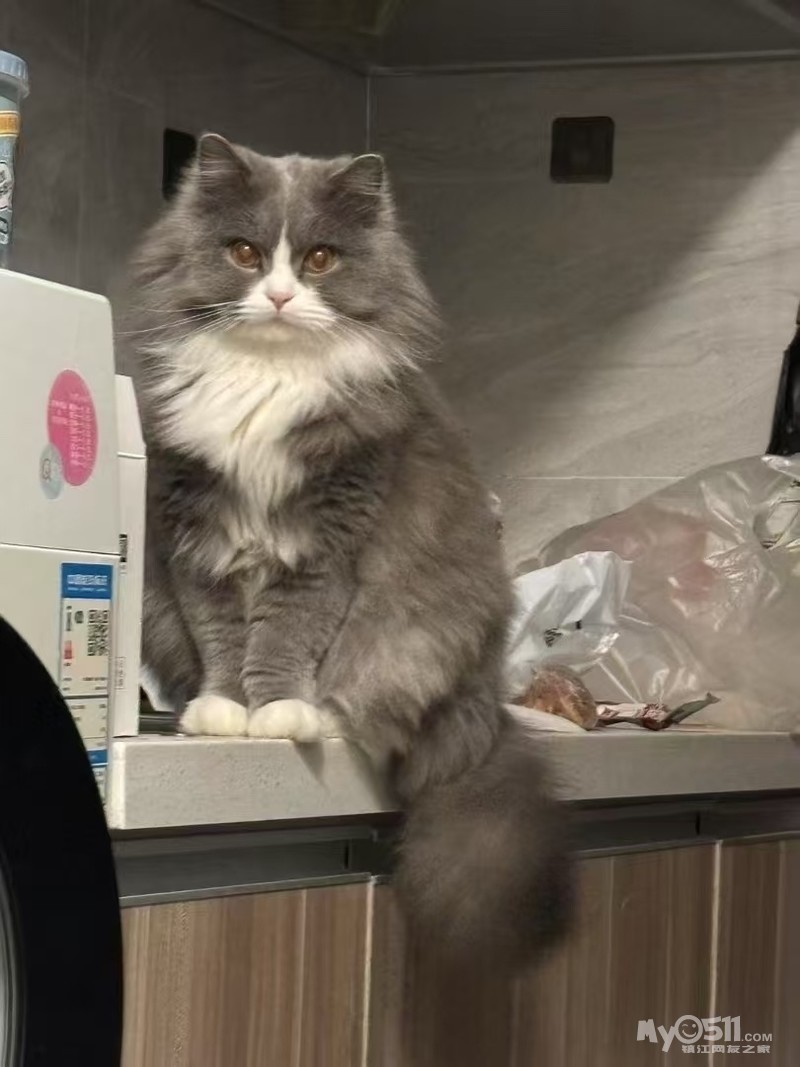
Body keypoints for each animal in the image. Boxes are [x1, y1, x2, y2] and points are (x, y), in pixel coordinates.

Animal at [121, 133, 571, 966]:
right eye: (244, 252)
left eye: (321, 259)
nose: (278, 297)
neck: (266, 376)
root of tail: (487, 710)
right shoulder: (199, 533)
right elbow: (222, 637)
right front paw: (223, 709)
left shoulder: (328, 539)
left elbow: (288, 638)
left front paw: (277, 711)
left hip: (417, 638)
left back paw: (324, 716)